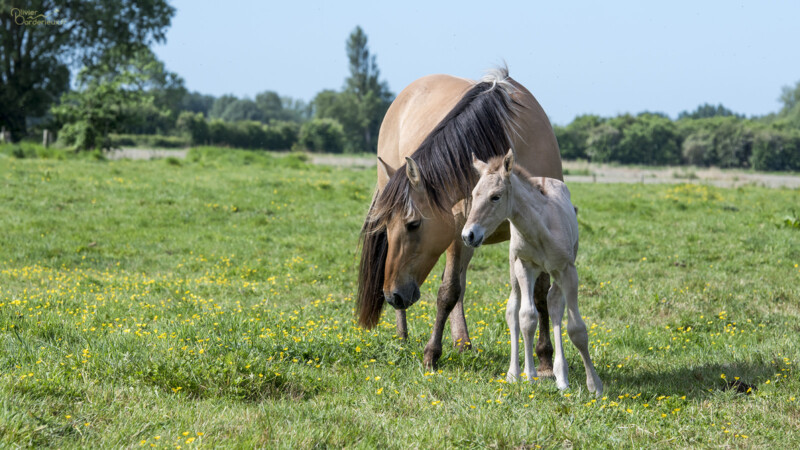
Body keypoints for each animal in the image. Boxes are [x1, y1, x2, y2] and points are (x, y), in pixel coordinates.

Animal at [356, 67, 564, 370]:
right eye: (387, 226)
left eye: (413, 224)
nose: (392, 296)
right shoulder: (459, 233)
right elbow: (448, 291)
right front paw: (431, 353)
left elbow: (540, 293)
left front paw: (546, 358)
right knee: (454, 286)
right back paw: (404, 335)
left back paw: (462, 341)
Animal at [462, 150, 603, 396]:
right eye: (473, 194)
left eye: (495, 197)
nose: (468, 235)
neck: (539, 228)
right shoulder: (524, 266)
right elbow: (527, 317)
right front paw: (529, 376)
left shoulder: (567, 270)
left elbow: (576, 328)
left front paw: (594, 385)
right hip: (514, 270)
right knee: (513, 309)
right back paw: (514, 373)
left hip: (557, 272)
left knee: (554, 303)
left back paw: (561, 377)